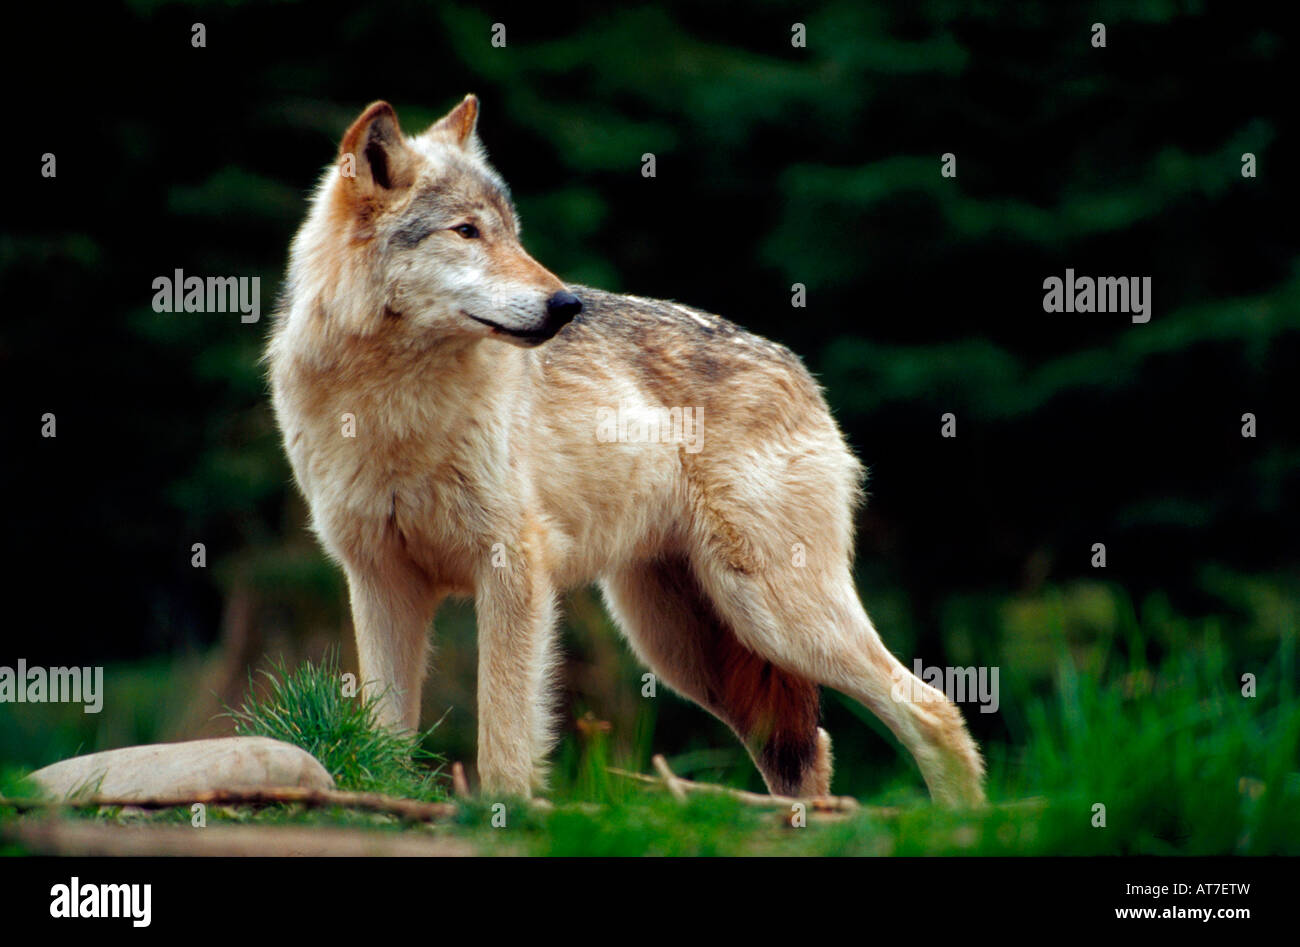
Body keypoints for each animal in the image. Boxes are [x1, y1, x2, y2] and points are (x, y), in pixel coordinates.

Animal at [266, 95, 986, 807]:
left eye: (513, 233)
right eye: (466, 231)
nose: (566, 304)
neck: (391, 403)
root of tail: (801, 373)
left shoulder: (512, 571)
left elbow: (504, 736)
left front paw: (507, 812)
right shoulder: (380, 580)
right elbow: (386, 737)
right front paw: (389, 797)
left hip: (772, 616)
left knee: (932, 709)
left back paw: (963, 818)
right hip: (690, 648)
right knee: (810, 752)